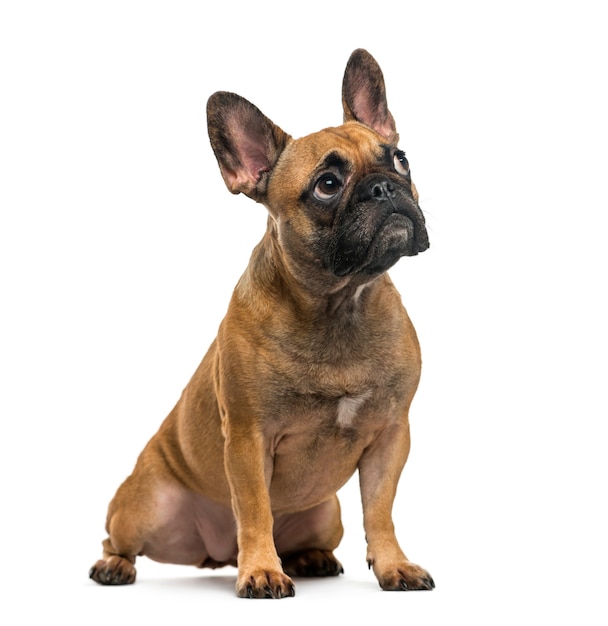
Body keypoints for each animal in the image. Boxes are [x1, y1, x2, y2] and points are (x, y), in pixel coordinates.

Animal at [89, 47, 432, 596]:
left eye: (400, 158)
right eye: (327, 185)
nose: (384, 187)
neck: (338, 306)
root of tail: (215, 557)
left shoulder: (390, 435)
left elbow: (380, 510)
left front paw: (394, 564)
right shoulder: (250, 438)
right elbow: (253, 507)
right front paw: (262, 571)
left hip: (326, 514)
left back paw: (311, 557)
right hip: (143, 507)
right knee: (117, 538)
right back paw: (116, 566)